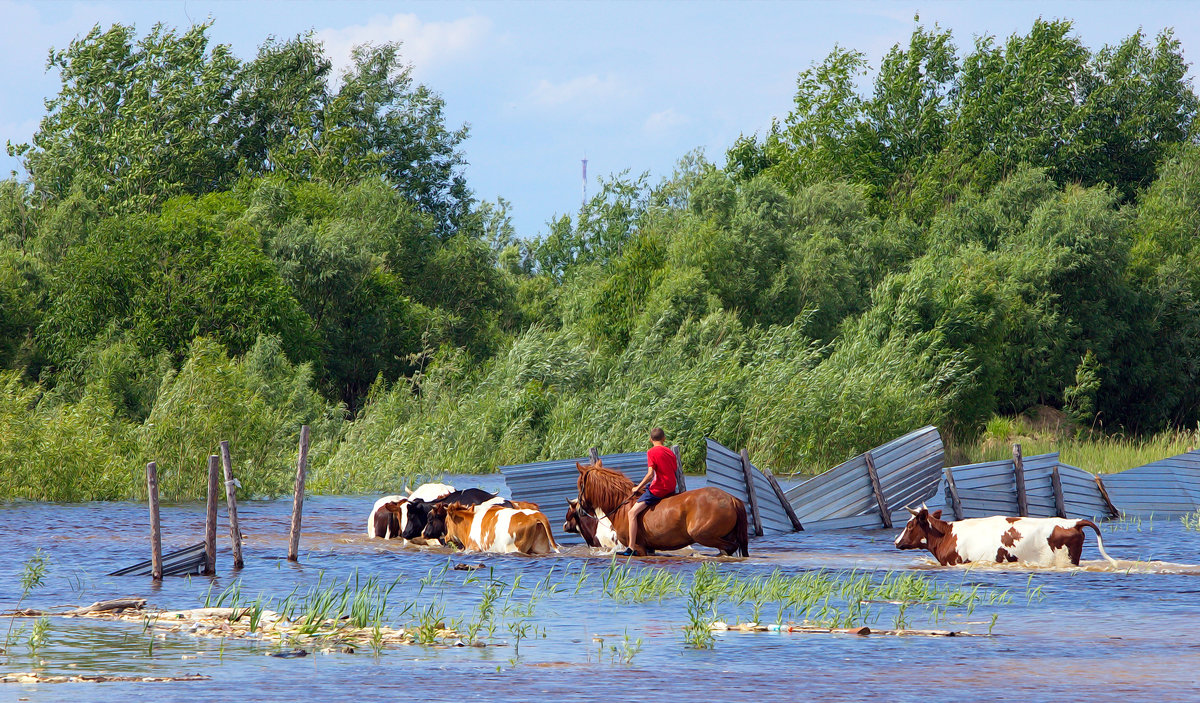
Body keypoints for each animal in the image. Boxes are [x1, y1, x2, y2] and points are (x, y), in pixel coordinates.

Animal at [424, 503, 559, 551]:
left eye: (447, 522)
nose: (446, 538)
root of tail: (534, 514)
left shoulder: (474, 548)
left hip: (514, 548)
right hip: (541, 548)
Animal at [576, 455, 744, 556]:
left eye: (579, 485)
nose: (579, 510)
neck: (622, 505)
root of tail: (731, 498)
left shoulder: (639, 548)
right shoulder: (650, 548)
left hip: (704, 535)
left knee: (729, 547)